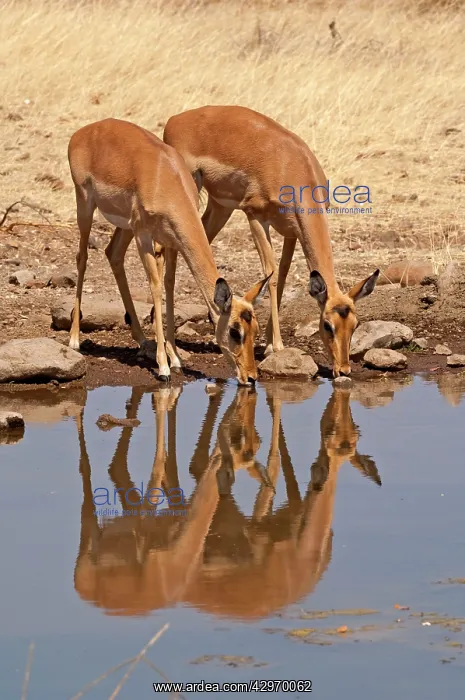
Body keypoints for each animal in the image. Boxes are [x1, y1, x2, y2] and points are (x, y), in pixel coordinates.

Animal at [67, 118, 271, 385]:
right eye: (235, 331)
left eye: (255, 328)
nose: (251, 377)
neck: (165, 180)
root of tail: (83, 132)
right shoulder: (145, 236)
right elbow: (155, 287)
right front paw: (163, 367)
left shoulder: (172, 241)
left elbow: (170, 285)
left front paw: (175, 359)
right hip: (86, 206)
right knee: (82, 257)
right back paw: (74, 340)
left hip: (125, 226)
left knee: (113, 253)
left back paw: (142, 340)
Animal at [163, 105, 380, 376]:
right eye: (327, 325)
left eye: (355, 324)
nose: (343, 369)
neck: (292, 166)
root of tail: (174, 120)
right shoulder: (255, 216)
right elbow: (272, 273)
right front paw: (277, 346)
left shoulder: (291, 231)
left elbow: (283, 273)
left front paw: (268, 344)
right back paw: (171, 353)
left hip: (220, 207)